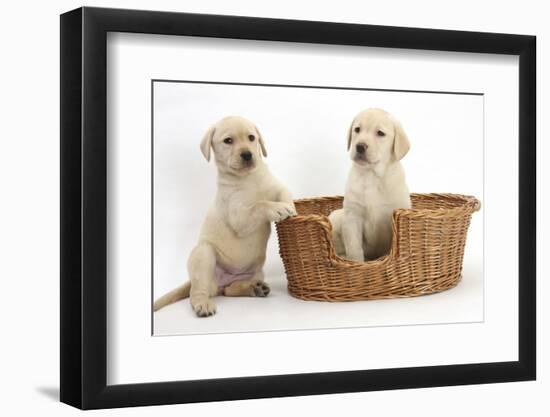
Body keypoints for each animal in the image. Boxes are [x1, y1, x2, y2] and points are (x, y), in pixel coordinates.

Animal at [153, 115, 298, 316]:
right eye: (228, 141)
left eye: (251, 138)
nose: (247, 154)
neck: (248, 177)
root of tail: (223, 281)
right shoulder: (238, 217)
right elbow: (259, 205)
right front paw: (277, 209)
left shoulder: (277, 187)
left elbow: (284, 194)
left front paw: (291, 210)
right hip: (204, 254)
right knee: (197, 292)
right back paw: (203, 305)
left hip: (256, 272)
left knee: (230, 290)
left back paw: (254, 288)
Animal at [330, 109, 412, 262]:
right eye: (357, 129)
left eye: (380, 133)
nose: (360, 146)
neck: (372, 175)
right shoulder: (352, 216)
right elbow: (354, 247)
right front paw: (356, 263)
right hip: (336, 218)